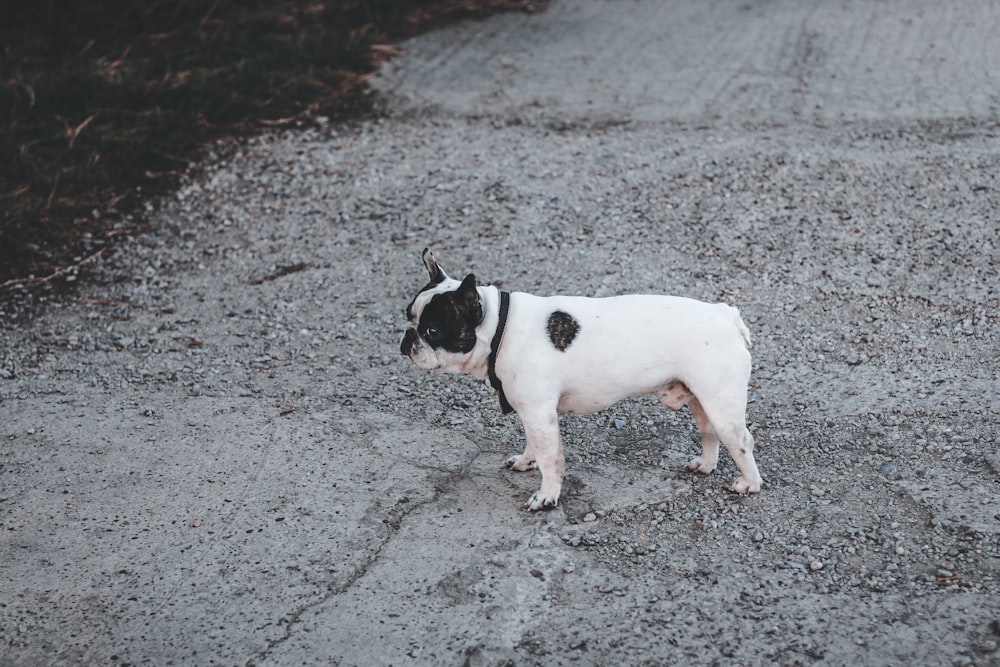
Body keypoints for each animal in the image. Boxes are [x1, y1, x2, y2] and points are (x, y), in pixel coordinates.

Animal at [398, 250, 756, 512]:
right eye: (408, 315)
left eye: (432, 330)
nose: (408, 337)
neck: (501, 326)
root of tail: (726, 314)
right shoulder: (531, 412)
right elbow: (534, 444)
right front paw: (526, 462)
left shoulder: (540, 413)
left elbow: (550, 458)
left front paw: (546, 496)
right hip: (702, 399)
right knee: (709, 432)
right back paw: (706, 465)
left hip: (722, 403)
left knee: (741, 441)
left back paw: (749, 484)